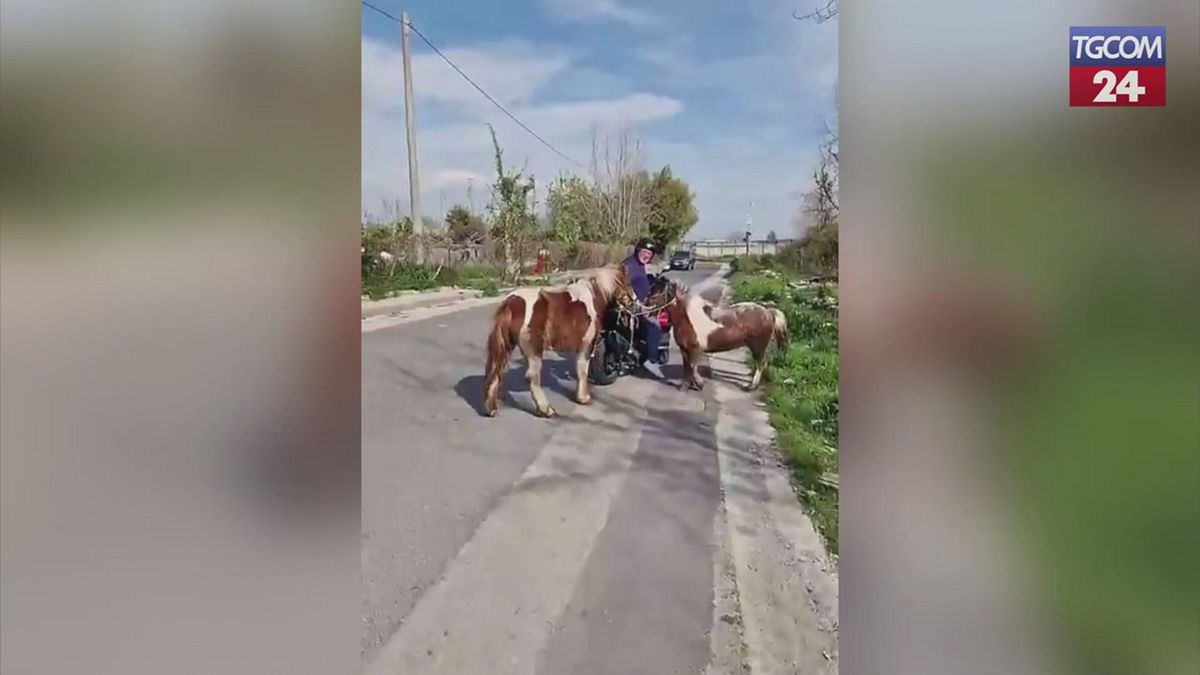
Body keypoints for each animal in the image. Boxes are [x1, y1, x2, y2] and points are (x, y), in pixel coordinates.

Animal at [487, 264, 638, 415]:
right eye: (628, 283)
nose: (634, 303)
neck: (592, 298)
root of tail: (510, 302)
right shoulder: (586, 346)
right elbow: (582, 370)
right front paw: (583, 398)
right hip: (534, 349)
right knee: (532, 376)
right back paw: (546, 409)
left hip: (509, 346)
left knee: (497, 371)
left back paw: (491, 409)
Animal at [652, 279, 792, 389]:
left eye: (657, 293)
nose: (647, 308)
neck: (686, 317)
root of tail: (769, 313)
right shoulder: (684, 350)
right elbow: (687, 368)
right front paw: (689, 385)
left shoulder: (694, 349)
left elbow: (692, 366)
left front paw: (699, 384)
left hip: (758, 346)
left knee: (761, 363)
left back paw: (751, 386)